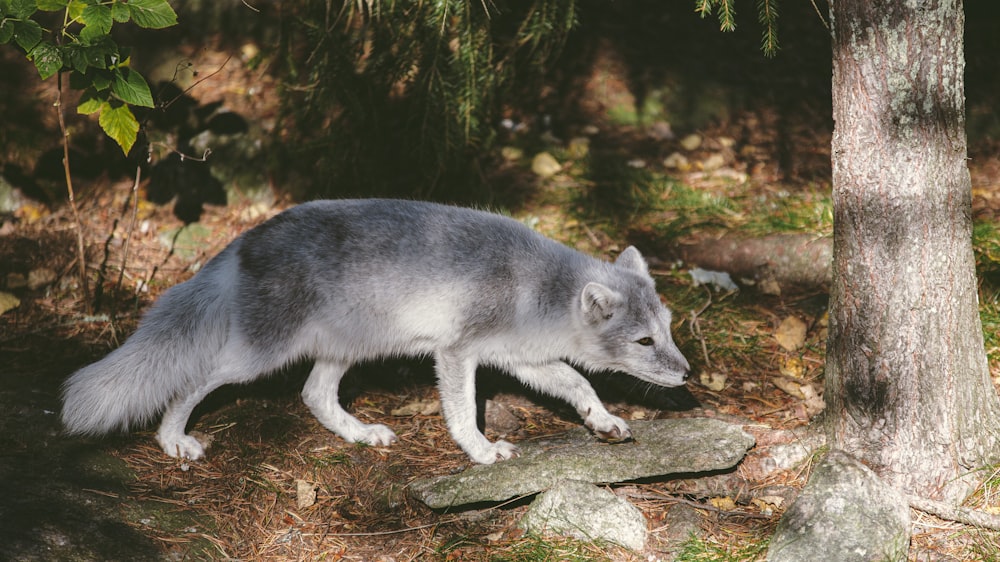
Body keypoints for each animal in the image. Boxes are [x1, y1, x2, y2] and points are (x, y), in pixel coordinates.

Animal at [60, 199, 688, 462]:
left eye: (669, 328)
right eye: (644, 342)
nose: (686, 375)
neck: (538, 289)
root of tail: (243, 241)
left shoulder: (522, 359)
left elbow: (580, 384)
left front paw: (603, 421)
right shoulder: (456, 353)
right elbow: (463, 412)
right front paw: (480, 451)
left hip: (346, 348)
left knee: (313, 395)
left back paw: (361, 435)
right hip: (257, 356)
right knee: (192, 382)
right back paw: (173, 440)